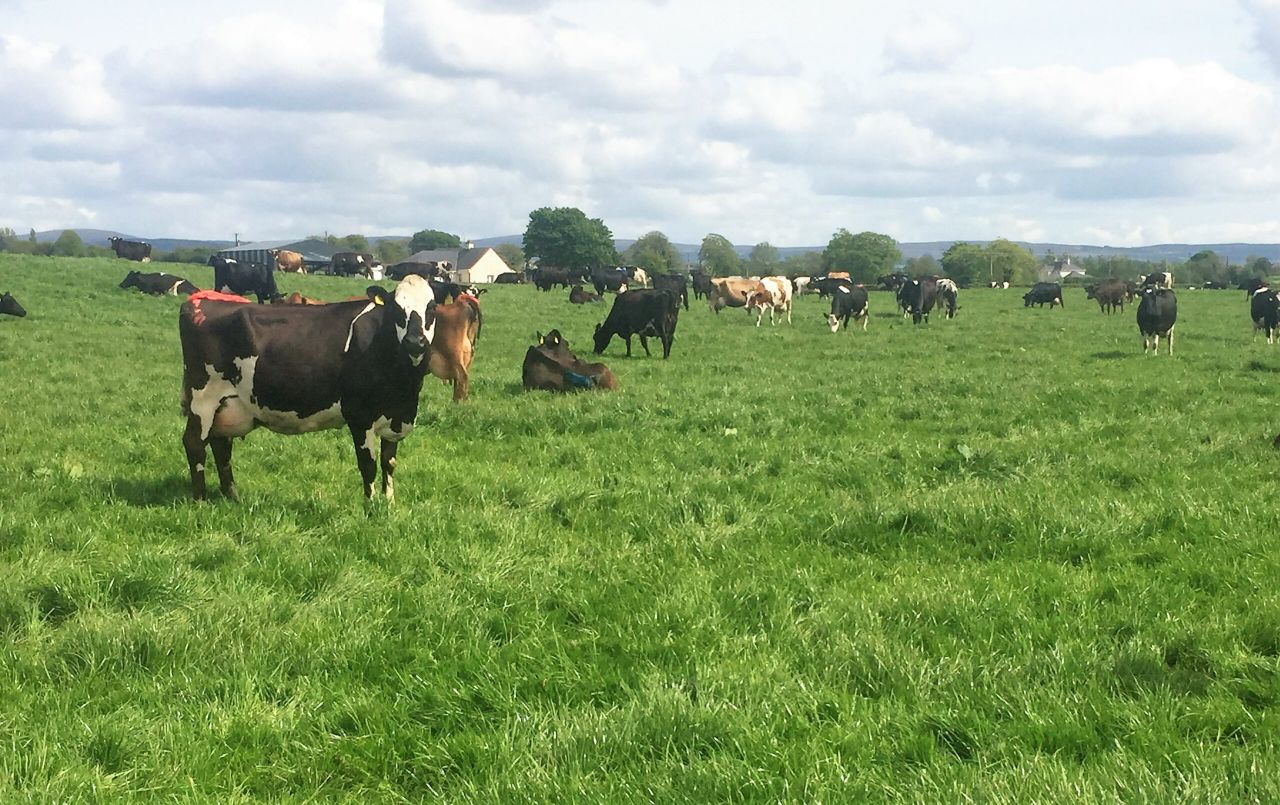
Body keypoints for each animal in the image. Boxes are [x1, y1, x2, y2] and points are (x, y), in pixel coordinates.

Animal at [177, 277, 439, 501]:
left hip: (227, 404)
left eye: (432, 308)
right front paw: (370, 506)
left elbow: (389, 462)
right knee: (195, 444)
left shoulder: (396, 416)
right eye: (396, 309)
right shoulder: (359, 415)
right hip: (203, 398)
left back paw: (232, 496)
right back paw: (200, 500)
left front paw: (389, 502)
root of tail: (200, 300)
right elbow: (368, 465)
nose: (415, 342)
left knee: (220, 445)